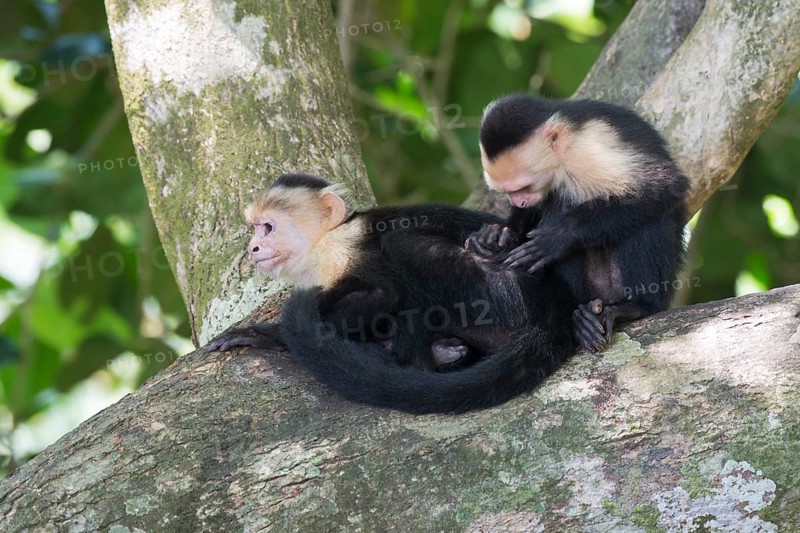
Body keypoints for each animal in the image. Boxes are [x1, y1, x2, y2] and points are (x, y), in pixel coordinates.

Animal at [208, 173, 577, 413]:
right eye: (254, 229)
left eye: (268, 227)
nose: (254, 248)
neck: (327, 240)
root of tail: (556, 304)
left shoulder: (344, 248)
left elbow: (384, 293)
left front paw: (271, 333)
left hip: (502, 293)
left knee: (404, 247)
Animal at [466, 94, 689, 353]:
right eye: (508, 192)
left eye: (524, 187)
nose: (518, 201)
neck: (562, 157)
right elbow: (533, 211)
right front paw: (499, 234)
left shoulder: (589, 149)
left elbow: (666, 185)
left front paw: (557, 239)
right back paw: (580, 321)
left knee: (648, 217)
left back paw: (636, 306)